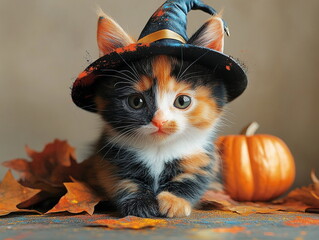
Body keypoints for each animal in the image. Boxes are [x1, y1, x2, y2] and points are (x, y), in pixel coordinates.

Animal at [82, 11, 228, 218]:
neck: (159, 149)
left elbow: (193, 179)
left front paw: (174, 201)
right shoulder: (108, 158)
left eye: (182, 101)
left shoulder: (203, 157)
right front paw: (140, 203)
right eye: (136, 101)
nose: (159, 121)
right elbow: (122, 181)